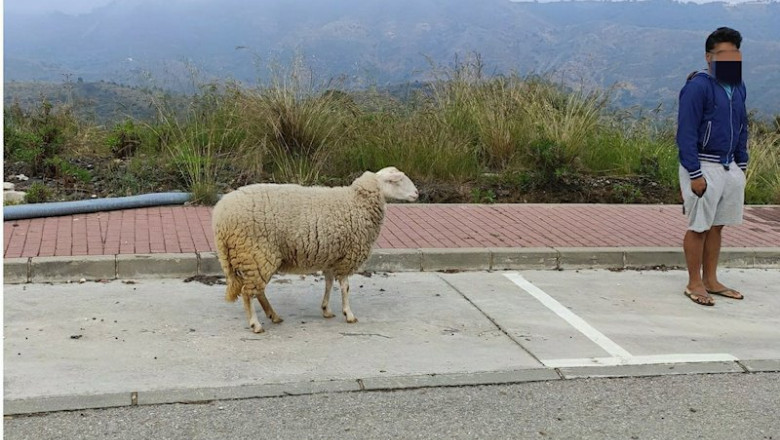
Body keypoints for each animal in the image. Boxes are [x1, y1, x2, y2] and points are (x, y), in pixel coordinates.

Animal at [212, 166, 419, 333]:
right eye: (398, 180)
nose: (417, 193)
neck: (356, 202)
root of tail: (220, 218)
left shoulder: (332, 256)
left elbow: (328, 283)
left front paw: (326, 309)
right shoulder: (347, 256)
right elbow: (345, 287)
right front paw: (349, 314)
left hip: (256, 257)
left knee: (258, 291)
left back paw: (274, 316)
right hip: (256, 253)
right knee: (248, 293)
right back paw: (256, 324)